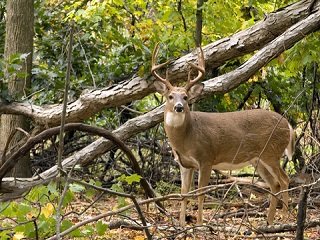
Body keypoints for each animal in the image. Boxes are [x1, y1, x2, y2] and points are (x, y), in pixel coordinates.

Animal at [152, 43, 296, 227]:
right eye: (170, 96)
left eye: (185, 97)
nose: (179, 107)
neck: (186, 138)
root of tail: (288, 125)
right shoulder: (184, 164)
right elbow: (184, 194)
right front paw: (182, 224)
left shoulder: (206, 157)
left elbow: (200, 193)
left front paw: (199, 224)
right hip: (258, 159)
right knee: (274, 184)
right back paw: (269, 221)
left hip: (271, 152)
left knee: (284, 179)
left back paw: (284, 217)